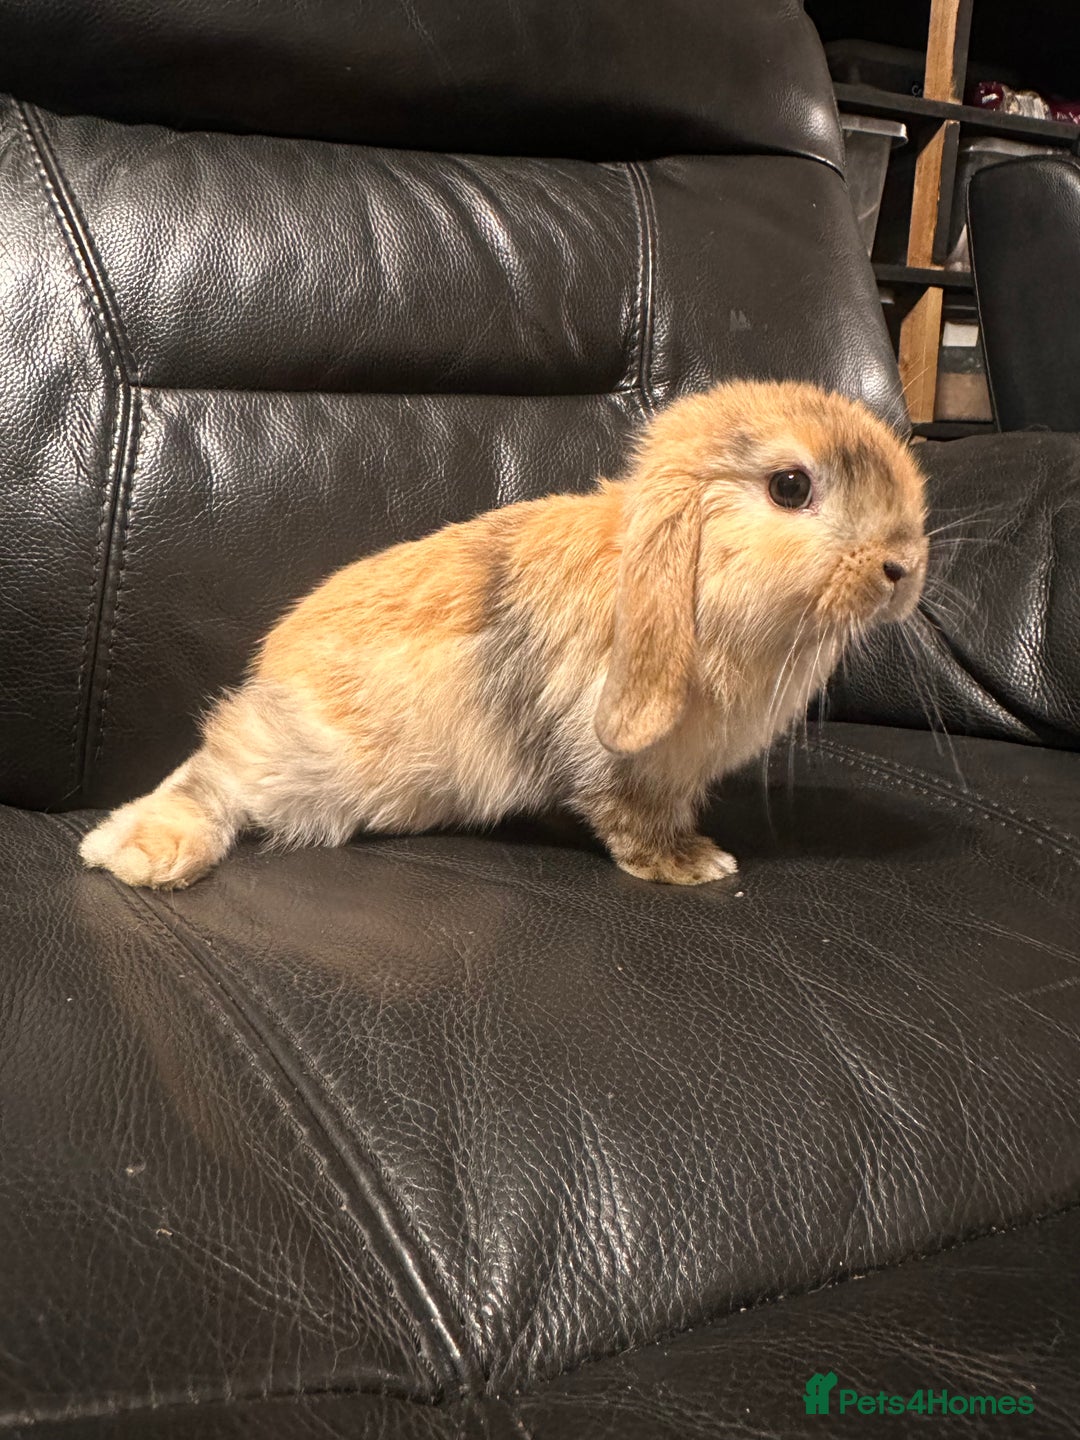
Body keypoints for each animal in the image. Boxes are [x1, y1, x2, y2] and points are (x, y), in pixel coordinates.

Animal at [79, 379, 927, 890]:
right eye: (790, 486)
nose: (905, 565)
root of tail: (270, 671)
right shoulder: (614, 760)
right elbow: (629, 817)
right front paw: (695, 865)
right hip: (306, 763)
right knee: (213, 771)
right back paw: (138, 855)